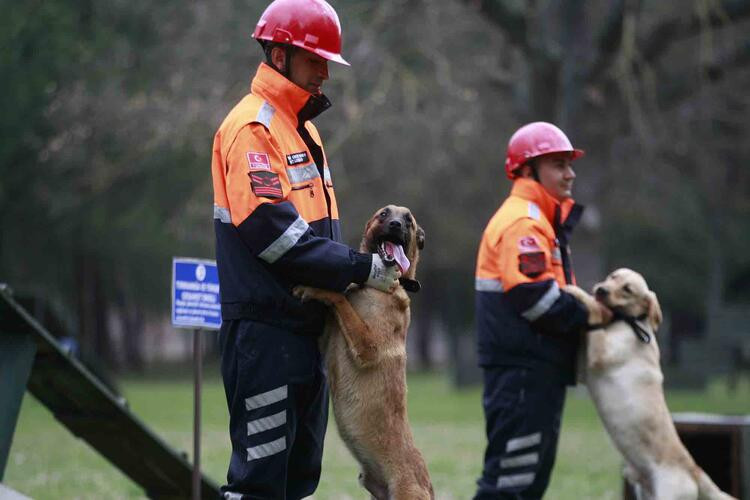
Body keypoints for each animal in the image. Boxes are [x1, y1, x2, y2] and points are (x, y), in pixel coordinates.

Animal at [294, 204, 434, 500]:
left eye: (409, 221)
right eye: (384, 214)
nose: (395, 225)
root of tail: (428, 487)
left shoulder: (368, 346)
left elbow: (340, 299)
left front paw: (315, 287)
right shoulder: (331, 336)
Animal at [568, 270, 736, 500]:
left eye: (627, 289)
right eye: (612, 276)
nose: (601, 290)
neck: (627, 323)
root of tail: (695, 472)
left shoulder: (599, 356)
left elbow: (593, 311)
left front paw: (576, 292)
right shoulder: (583, 370)